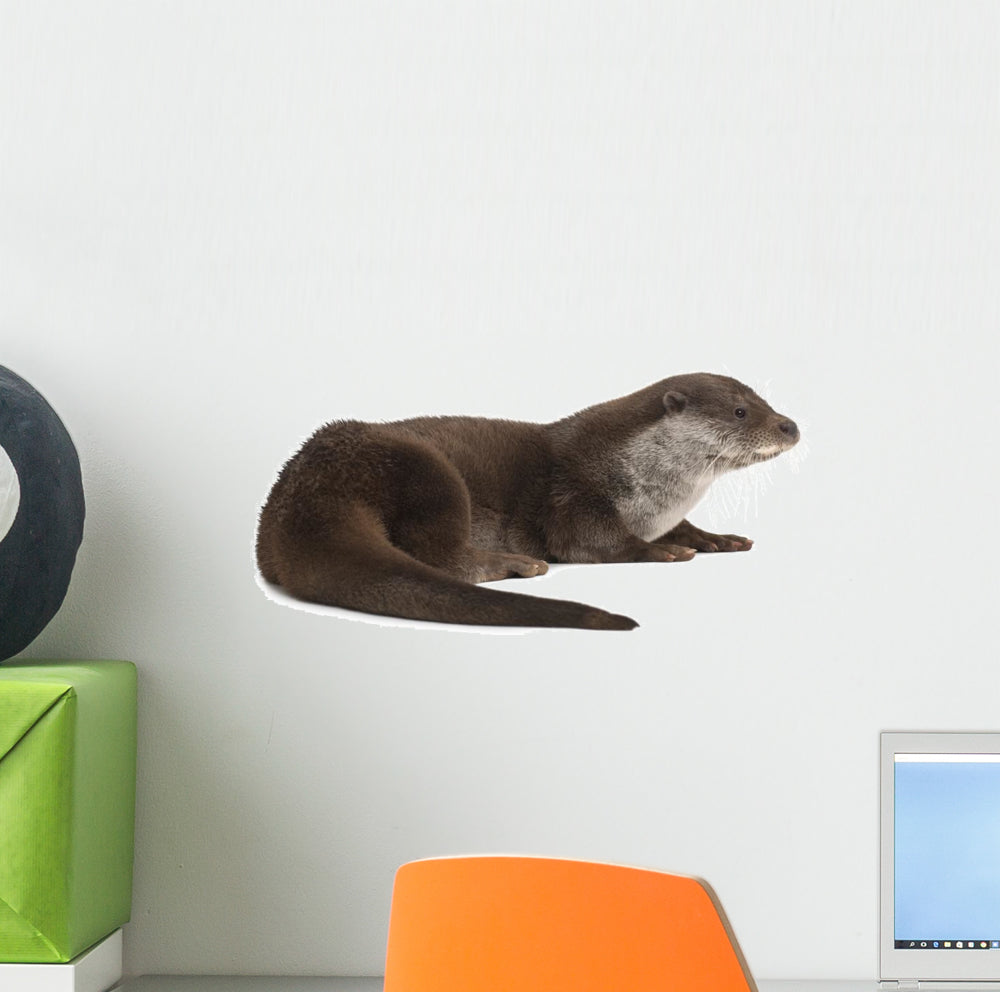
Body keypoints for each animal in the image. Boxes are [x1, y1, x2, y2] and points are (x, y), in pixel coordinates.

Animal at [256, 373, 799, 630]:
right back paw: (514, 563)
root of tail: (306, 485)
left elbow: (685, 529)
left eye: (767, 402)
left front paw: (717, 538)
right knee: (440, 553)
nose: (790, 425)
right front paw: (660, 551)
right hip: (426, 471)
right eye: (741, 411)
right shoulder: (573, 492)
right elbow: (590, 539)